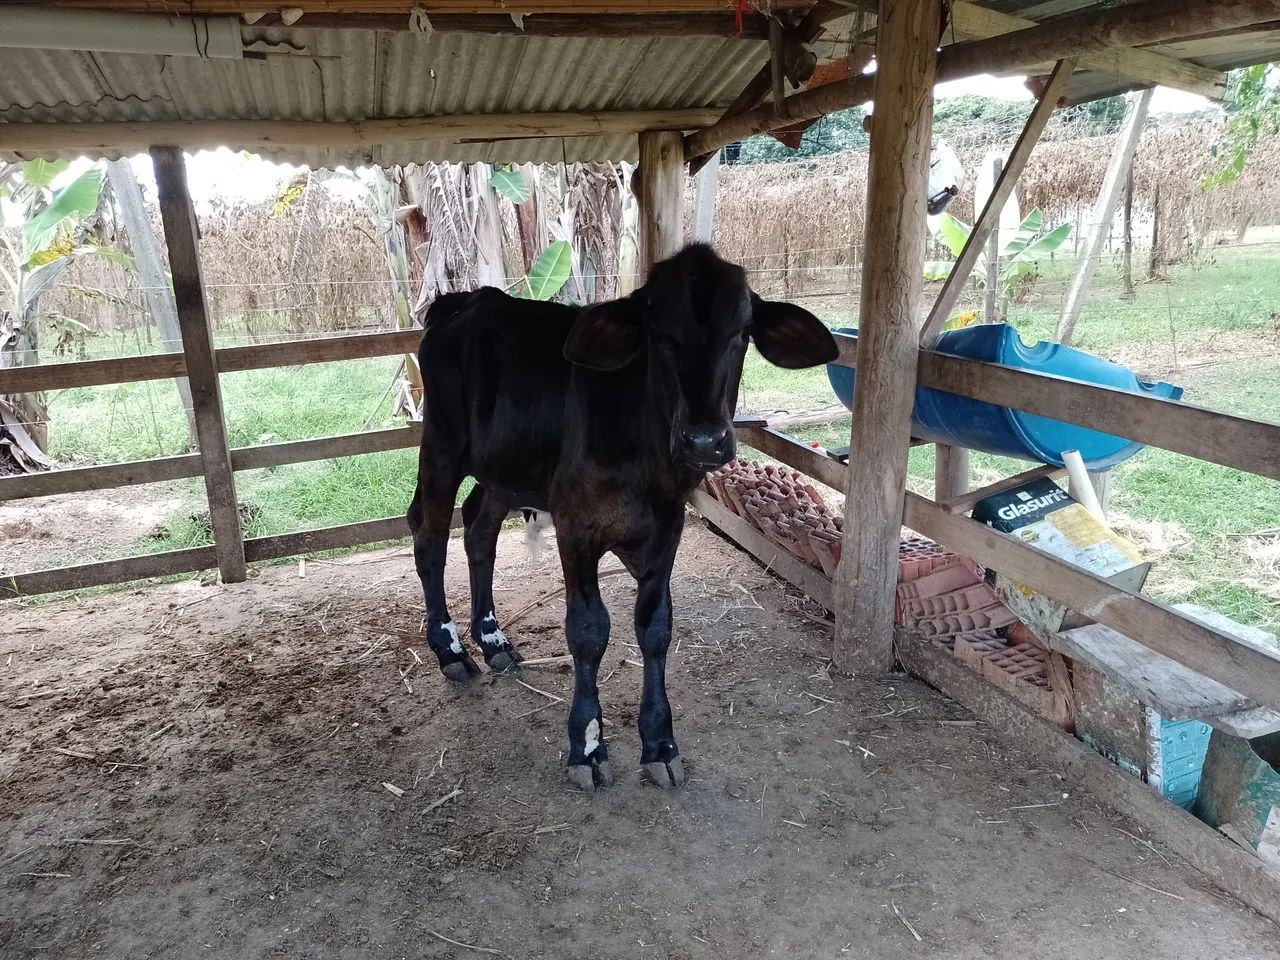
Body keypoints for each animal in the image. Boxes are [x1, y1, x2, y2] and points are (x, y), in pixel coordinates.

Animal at [406, 244, 838, 792]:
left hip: (504, 471)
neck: (647, 458)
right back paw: (450, 650)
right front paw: (587, 747)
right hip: (441, 445)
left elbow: (655, 628)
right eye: (659, 334)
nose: (704, 440)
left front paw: (660, 743)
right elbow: (589, 630)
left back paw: (493, 641)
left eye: (742, 334)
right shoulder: (575, 525)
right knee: (430, 535)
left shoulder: (667, 529)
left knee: (479, 530)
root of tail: (464, 301)